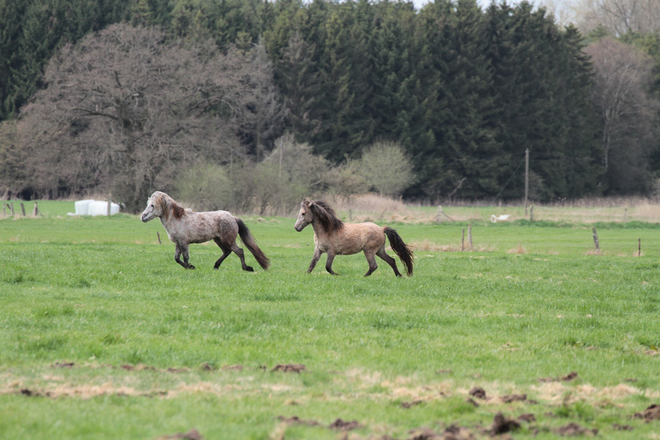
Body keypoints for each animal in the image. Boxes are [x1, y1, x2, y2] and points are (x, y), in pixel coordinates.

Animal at [141, 192, 270, 272]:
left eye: (152, 205)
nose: (142, 217)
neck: (177, 219)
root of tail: (232, 217)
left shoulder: (184, 242)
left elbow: (185, 257)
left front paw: (188, 268)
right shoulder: (178, 243)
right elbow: (177, 258)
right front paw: (191, 267)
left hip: (228, 240)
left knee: (239, 251)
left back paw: (246, 268)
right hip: (218, 240)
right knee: (227, 252)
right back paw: (216, 266)